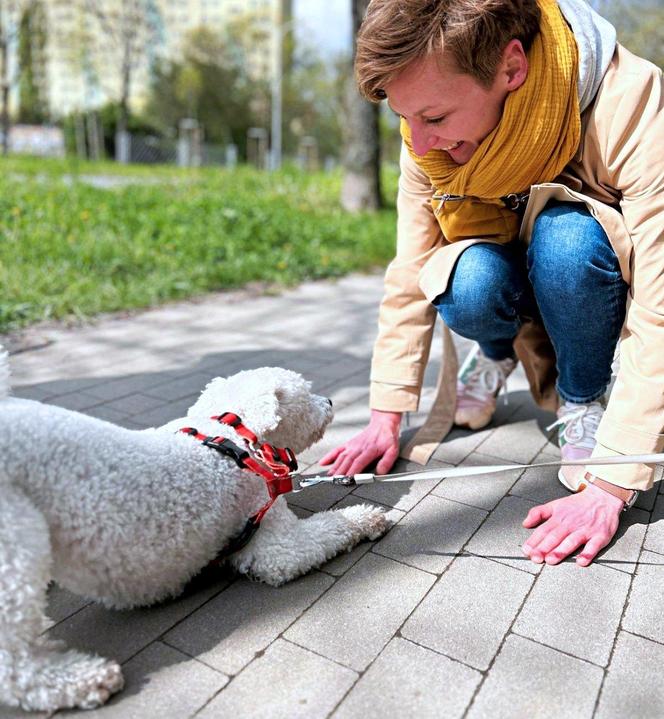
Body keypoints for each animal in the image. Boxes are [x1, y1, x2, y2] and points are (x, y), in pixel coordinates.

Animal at [0, 350, 390, 716]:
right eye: (307, 393)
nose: (330, 402)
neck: (233, 434)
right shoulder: (276, 544)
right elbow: (327, 529)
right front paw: (368, 518)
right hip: (16, 544)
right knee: (15, 661)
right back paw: (82, 679)